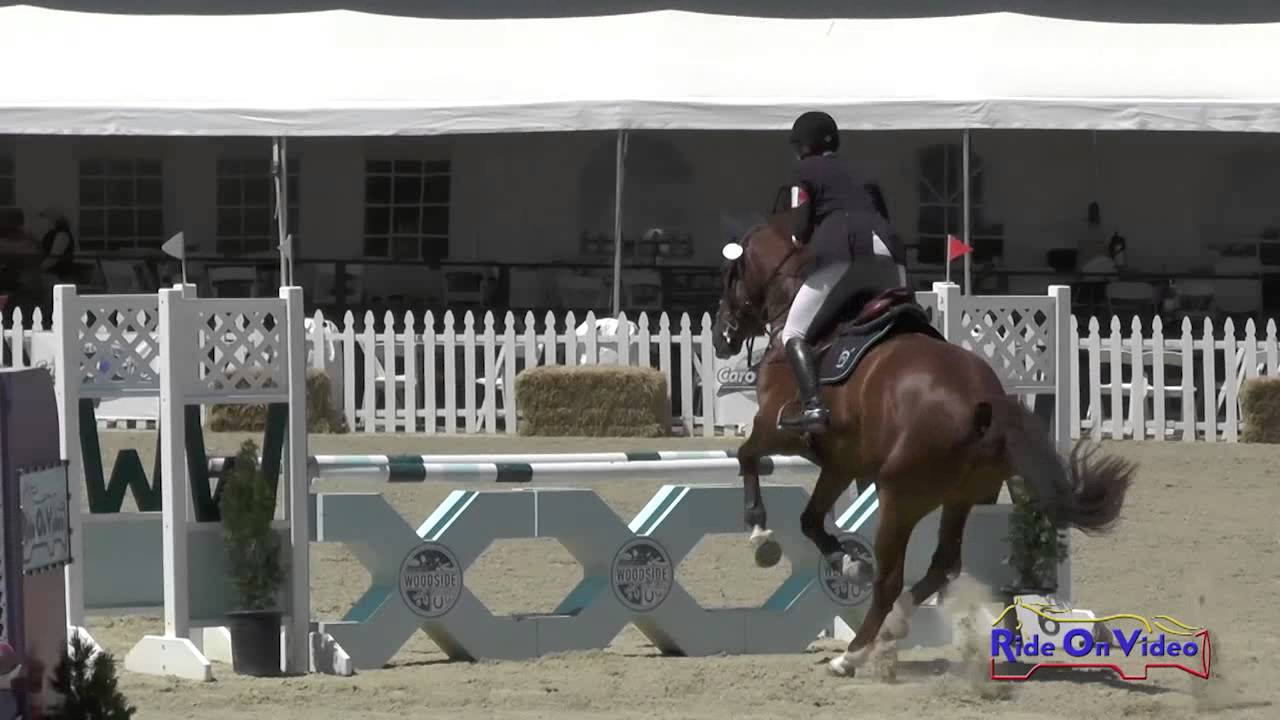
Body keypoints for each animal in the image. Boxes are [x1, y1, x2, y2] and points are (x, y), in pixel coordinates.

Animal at [710, 213, 1137, 677]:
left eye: (730, 275)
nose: (721, 338)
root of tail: (987, 402)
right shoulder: (841, 464)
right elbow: (809, 520)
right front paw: (846, 561)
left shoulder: (777, 430)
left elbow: (747, 457)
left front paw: (761, 535)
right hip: (959, 497)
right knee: (943, 564)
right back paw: (893, 626)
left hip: (900, 497)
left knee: (891, 578)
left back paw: (852, 654)